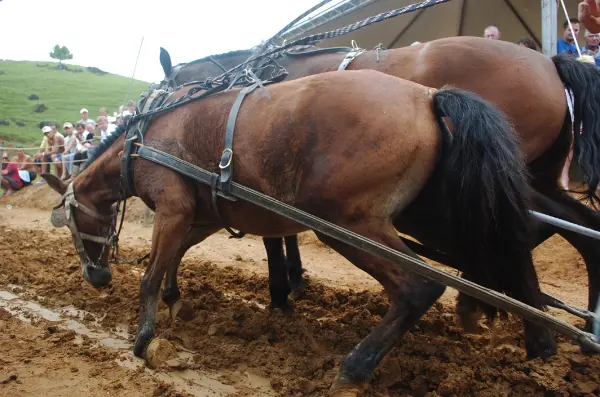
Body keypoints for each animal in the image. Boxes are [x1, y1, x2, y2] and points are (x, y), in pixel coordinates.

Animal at [41, 69, 552, 394]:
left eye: (71, 222)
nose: (96, 277)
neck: (147, 135)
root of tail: (426, 94)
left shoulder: (172, 207)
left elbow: (150, 273)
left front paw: (144, 339)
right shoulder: (201, 214)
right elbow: (175, 256)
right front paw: (173, 300)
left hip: (347, 222)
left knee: (419, 287)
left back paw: (355, 367)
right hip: (434, 213)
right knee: (501, 248)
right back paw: (532, 338)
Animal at [161, 36, 600, 322]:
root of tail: (548, 62)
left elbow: (274, 236)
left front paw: (281, 292)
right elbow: (284, 232)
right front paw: (295, 280)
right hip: (538, 175)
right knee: (578, 225)